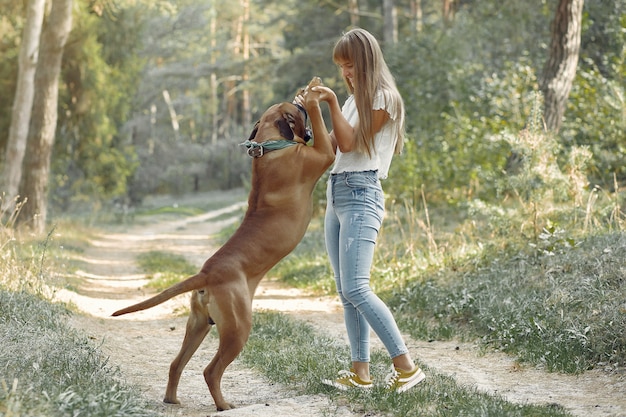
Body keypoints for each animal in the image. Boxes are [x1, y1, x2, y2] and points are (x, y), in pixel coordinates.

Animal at [112, 78, 336, 410]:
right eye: (297, 111)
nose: (299, 102)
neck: (268, 147)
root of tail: (205, 273)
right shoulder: (323, 153)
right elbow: (325, 131)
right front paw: (315, 96)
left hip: (198, 325)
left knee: (176, 364)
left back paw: (171, 399)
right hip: (237, 329)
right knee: (210, 370)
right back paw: (223, 405)